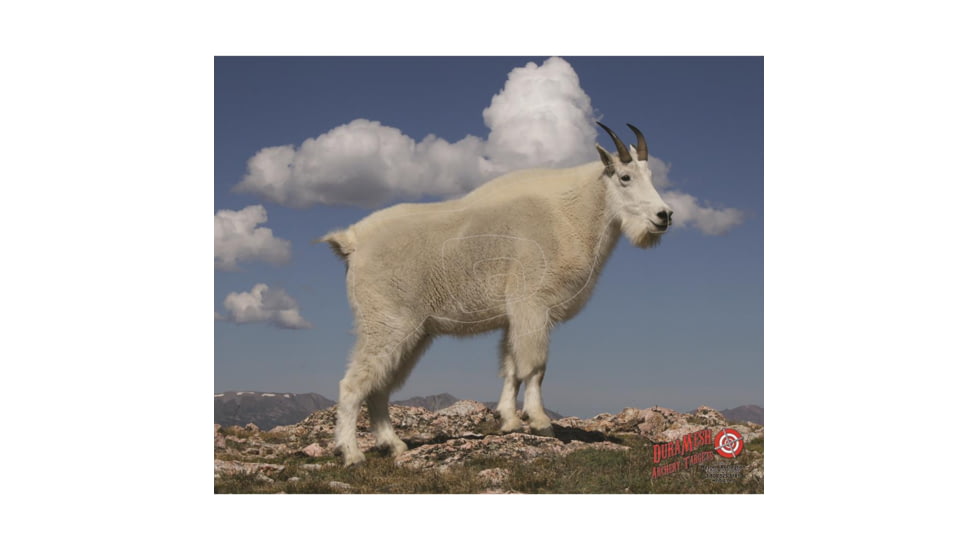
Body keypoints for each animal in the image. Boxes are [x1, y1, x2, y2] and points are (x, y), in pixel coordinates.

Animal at [319, 123, 673, 465]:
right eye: (625, 177)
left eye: (651, 175)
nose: (664, 216)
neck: (571, 213)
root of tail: (352, 242)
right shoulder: (532, 305)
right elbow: (535, 367)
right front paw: (540, 423)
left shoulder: (514, 317)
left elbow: (511, 368)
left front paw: (509, 421)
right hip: (387, 323)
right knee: (353, 384)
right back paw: (352, 454)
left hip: (413, 332)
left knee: (380, 387)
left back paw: (393, 445)